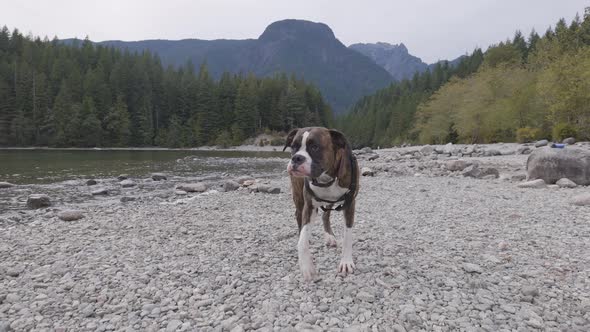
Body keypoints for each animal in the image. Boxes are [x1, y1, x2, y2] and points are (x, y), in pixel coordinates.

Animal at [284, 127, 360, 280]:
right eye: (293, 147)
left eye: (315, 147)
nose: (296, 158)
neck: (326, 178)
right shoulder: (309, 206)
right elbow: (302, 240)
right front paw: (306, 266)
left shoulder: (350, 204)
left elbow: (348, 236)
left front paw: (346, 262)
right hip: (299, 197)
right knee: (298, 215)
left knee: (326, 216)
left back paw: (329, 237)